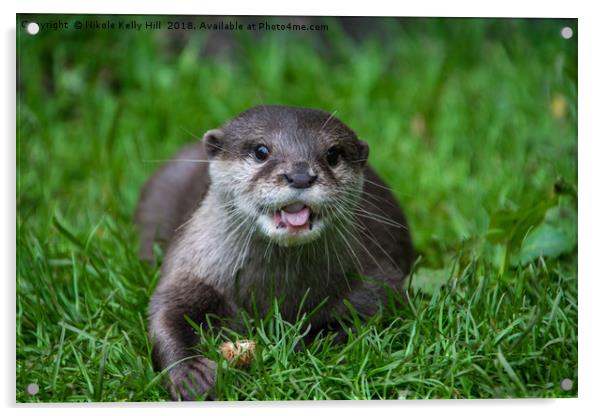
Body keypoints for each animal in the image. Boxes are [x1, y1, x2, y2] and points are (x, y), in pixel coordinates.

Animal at [135, 105, 412, 400]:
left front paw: (305, 342)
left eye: (333, 154)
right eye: (261, 151)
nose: (300, 176)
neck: (274, 291)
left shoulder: (374, 276)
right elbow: (165, 313)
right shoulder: (191, 268)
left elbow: (371, 315)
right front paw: (191, 374)